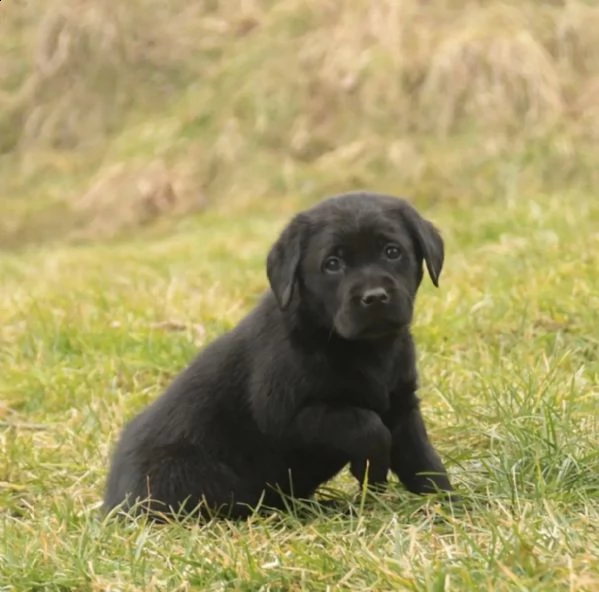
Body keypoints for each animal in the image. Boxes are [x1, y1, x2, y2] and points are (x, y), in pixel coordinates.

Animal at [104, 192, 454, 520]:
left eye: (392, 251)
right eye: (332, 264)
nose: (375, 297)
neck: (364, 348)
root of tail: (111, 507)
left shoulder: (402, 404)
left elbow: (422, 459)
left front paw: (449, 503)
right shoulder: (285, 414)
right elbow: (366, 424)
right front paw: (373, 469)